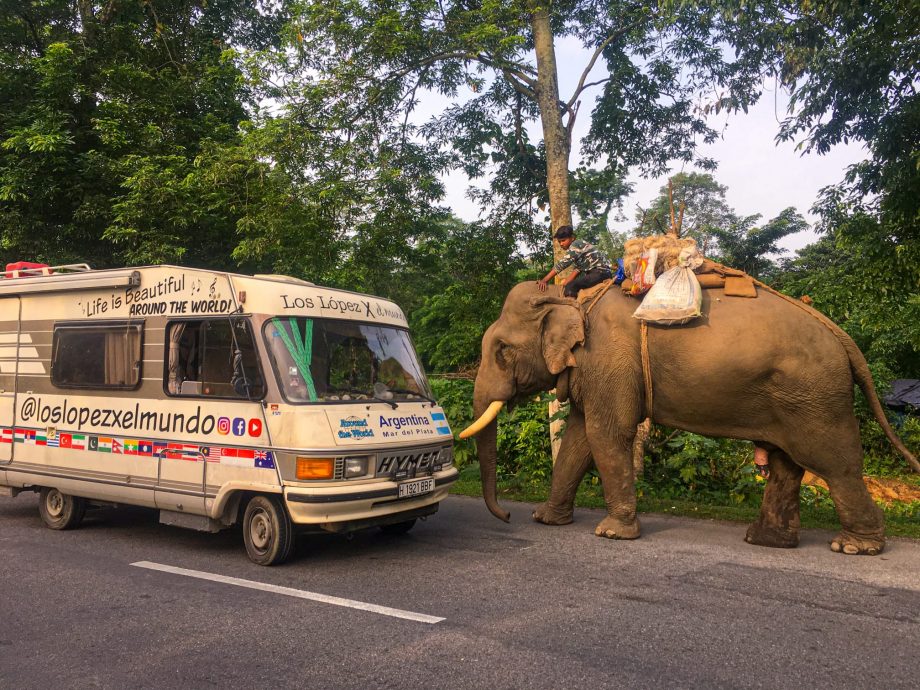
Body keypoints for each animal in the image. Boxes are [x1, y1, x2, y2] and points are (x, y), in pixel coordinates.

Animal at [460, 280, 920, 552]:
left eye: (501, 350)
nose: (508, 516)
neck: (572, 299)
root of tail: (841, 334)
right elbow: (577, 439)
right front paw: (546, 520)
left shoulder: (608, 360)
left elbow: (606, 434)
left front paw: (612, 534)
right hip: (794, 397)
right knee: (787, 465)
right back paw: (765, 541)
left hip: (816, 397)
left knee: (833, 464)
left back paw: (854, 547)